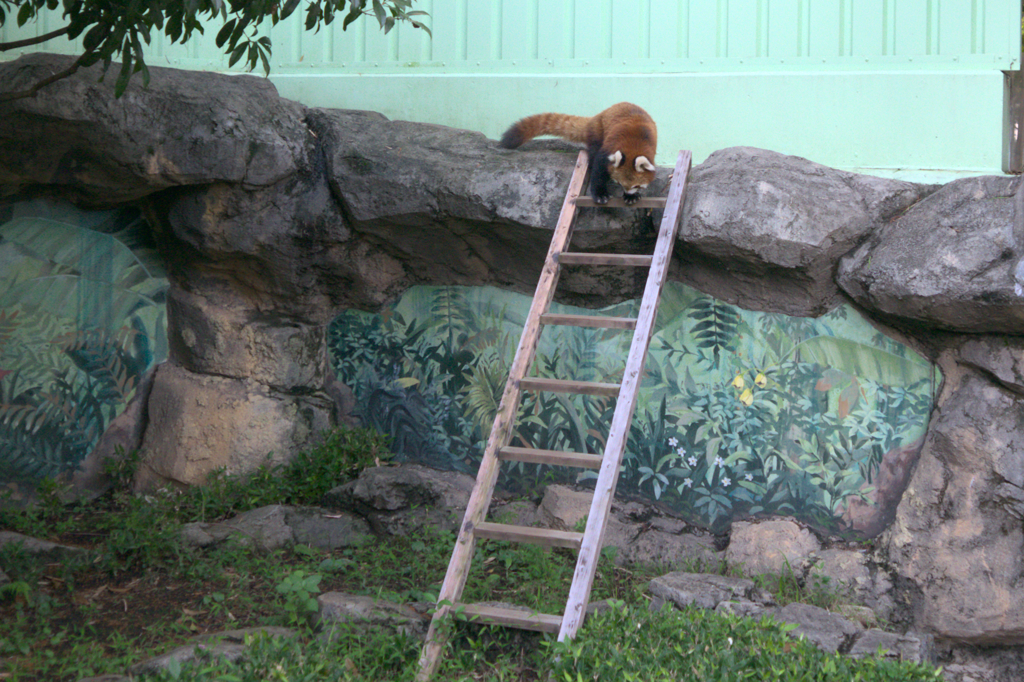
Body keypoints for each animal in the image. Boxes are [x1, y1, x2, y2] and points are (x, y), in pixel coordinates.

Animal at [499, 101, 659, 204]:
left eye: (635, 186)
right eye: (619, 183)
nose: (627, 192)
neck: (634, 146)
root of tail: (598, 115)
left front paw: (631, 197)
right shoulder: (609, 148)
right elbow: (599, 168)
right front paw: (600, 194)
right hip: (598, 131)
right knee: (593, 152)